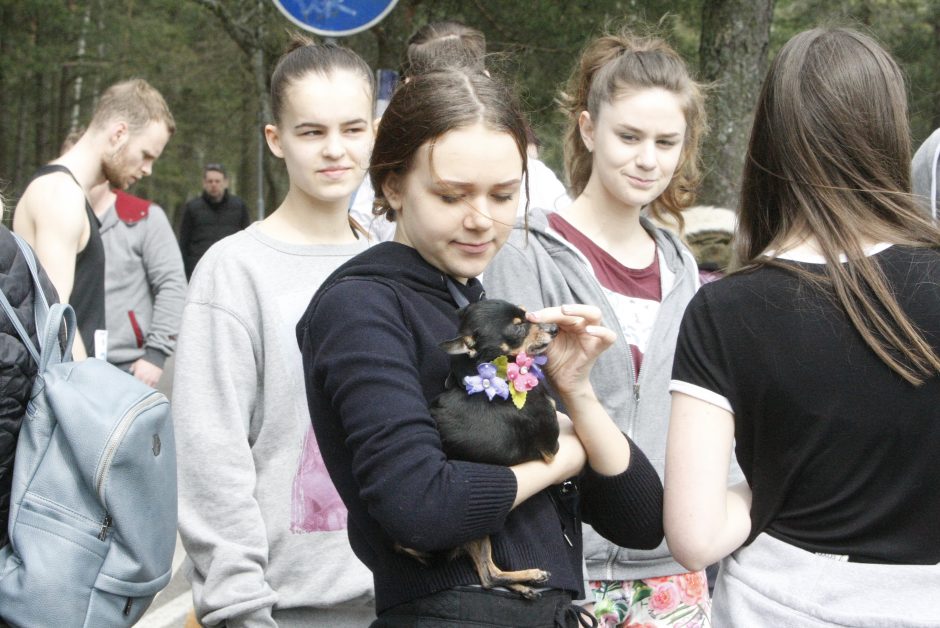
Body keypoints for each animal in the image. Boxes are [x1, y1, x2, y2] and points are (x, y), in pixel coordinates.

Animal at [428, 300, 560, 600]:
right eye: (518, 327)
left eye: (527, 315)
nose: (554, 328)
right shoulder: (552, 447)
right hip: (476, 525)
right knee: (489, 574)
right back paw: (532, 575)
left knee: (487, 575)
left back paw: (523, 586)